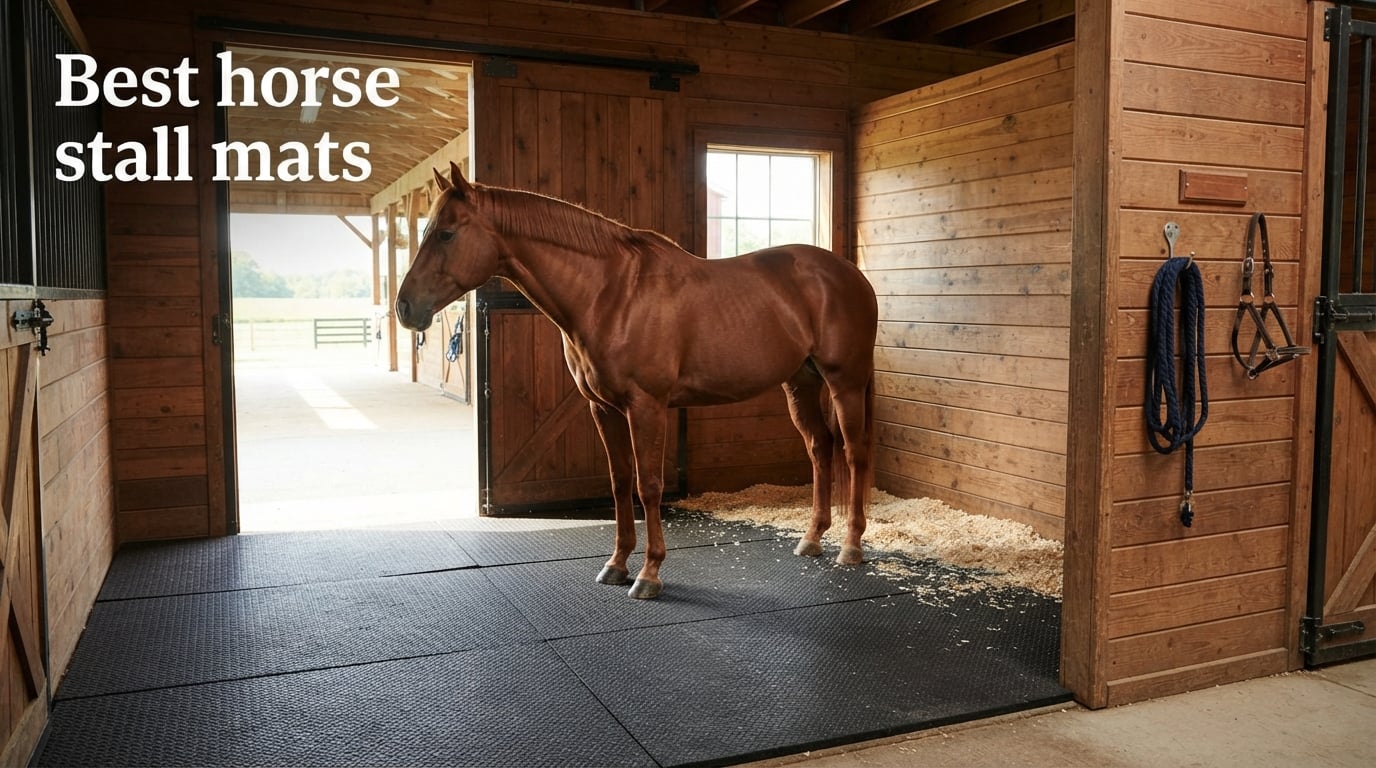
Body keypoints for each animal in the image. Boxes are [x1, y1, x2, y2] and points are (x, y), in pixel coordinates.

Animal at [396, 162, 877, 599]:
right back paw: (812, 539)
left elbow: (648, 486)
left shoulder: (646, 405)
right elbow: (620, 482)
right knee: (820, 447)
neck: (610, 293)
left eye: (446, 233)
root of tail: (850, 275)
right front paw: (616, 565)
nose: (405, 308)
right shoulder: (603, 407)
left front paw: (649, 574)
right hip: (800, 383)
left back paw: (851, 546)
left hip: (846, 383)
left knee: (854, 454)